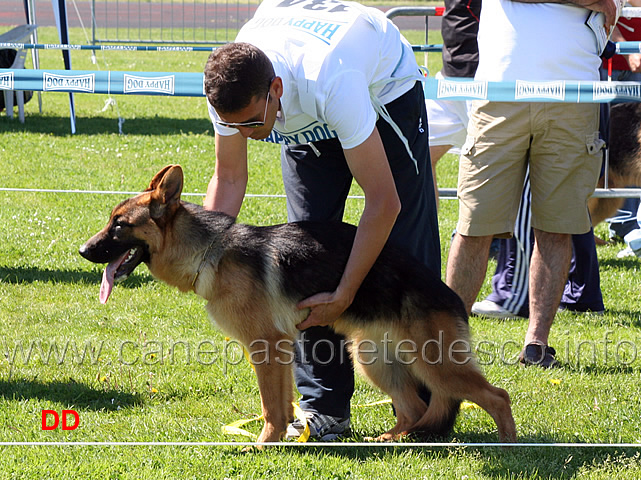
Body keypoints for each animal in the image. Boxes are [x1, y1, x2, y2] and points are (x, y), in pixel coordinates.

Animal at [80, 165, 516, 442]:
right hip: (373, 359)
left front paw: (261, 445)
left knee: (497, 396)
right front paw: (280, 439)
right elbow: (283, 403)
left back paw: (509, 445)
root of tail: (450, 295)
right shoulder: (280, 350)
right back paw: (392, 438)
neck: (210, 252)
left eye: (120, 225)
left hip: (435, 364)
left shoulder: (268, 347)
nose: (82, 251)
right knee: (411, 407)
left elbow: (271, 406)